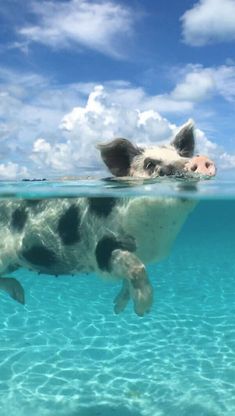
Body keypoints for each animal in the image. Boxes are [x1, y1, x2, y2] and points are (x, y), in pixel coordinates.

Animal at [0, 119, 217, 316]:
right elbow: (136, 266)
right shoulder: (101, 248)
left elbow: (128, 278)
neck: (156, 231)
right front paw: (143, 310)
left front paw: (118, 309)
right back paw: (21, 296)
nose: (198, 161)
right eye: (149, 164)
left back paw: (20, 297)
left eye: (181, 155)